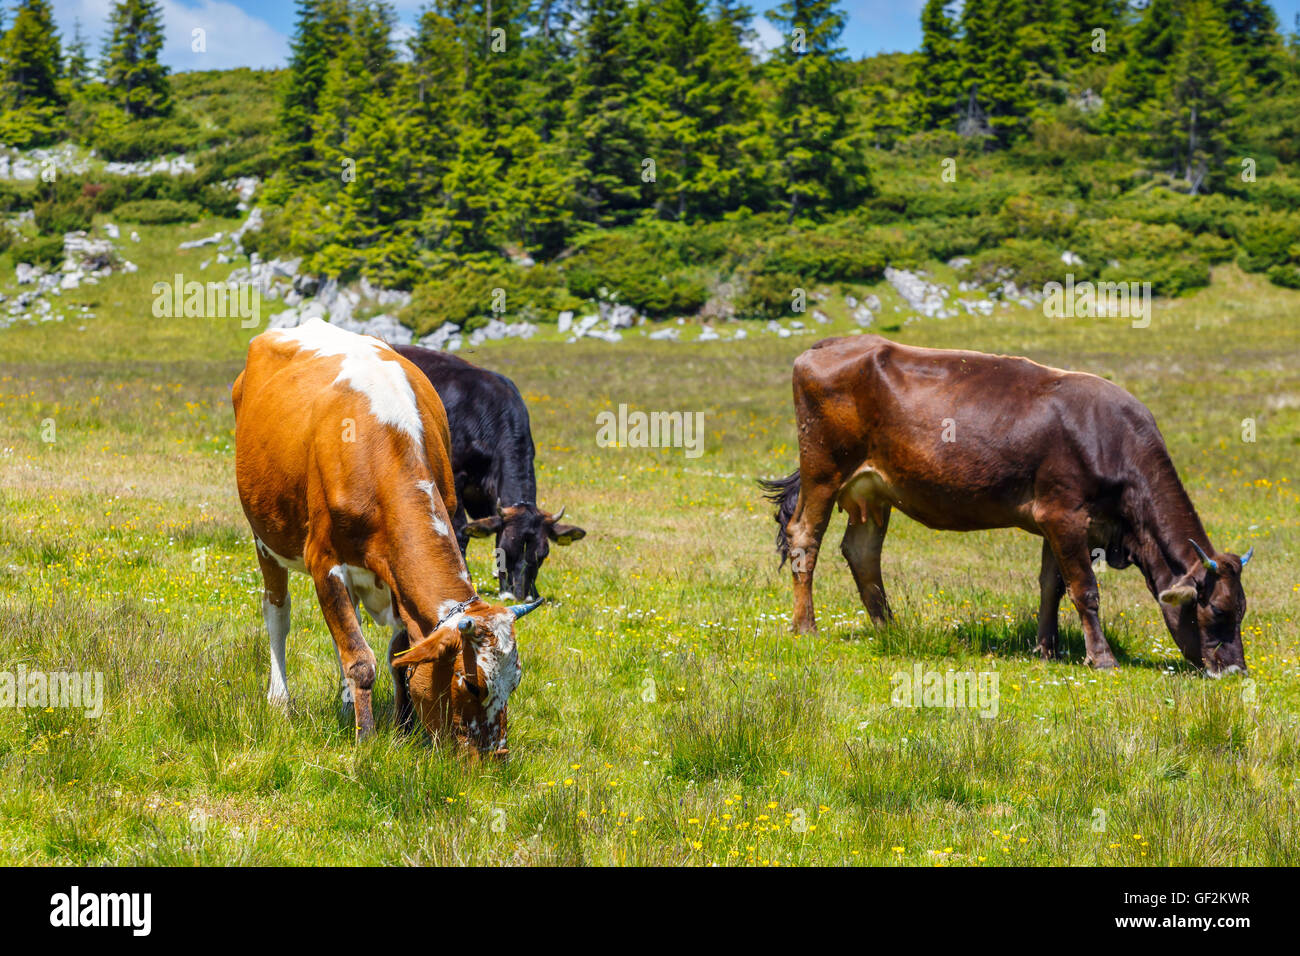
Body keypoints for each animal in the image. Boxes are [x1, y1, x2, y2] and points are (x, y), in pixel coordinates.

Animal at [232, 318, 544, 750]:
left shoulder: (396, 576)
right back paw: (280, 699)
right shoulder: (324, 563)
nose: (495, 756)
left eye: (514, 682)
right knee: (278, 613)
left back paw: (346, 703)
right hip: (265, 536)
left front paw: (403, 730)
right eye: (472, 685)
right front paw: (366, 740)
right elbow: (361, 660)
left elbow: (396, 654)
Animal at [760, 336, 1255, 676]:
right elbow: (1085, 590)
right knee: (805, 536)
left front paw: (1047, 650)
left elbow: (1052, 586)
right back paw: (806, 626)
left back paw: (889, 629)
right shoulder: (1064, 514)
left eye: (1243, 611)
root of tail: (825, 345)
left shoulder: (1058, 520)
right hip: (824, 469)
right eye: (1217, 611)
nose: (1235, 671)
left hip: (873, 491)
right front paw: (1102, 658)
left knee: (862, 552)